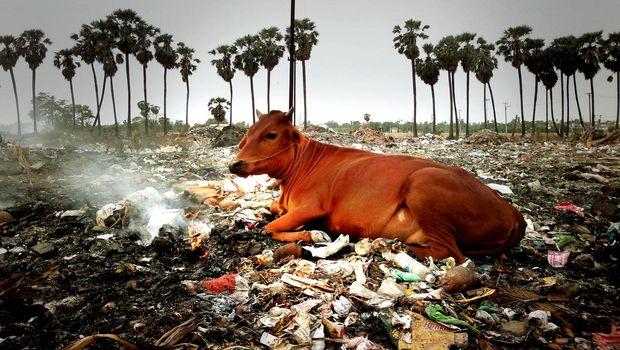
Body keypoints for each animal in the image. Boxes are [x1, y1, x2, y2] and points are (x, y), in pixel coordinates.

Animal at [228, 108, 524, 262]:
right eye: (248, 133)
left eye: (271, 134)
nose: (235, 164)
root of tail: (514, 212)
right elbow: (272, 212)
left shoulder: (312, 207)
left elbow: (270, 228)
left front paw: (310, 234)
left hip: (423, 186)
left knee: (452, 253)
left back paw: (392, 246)